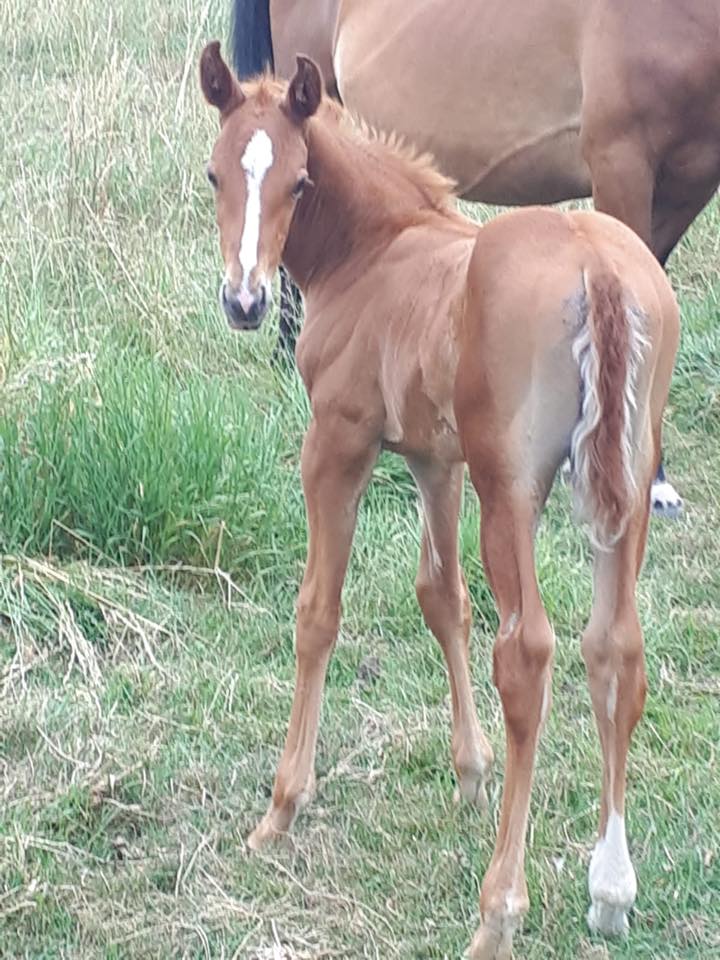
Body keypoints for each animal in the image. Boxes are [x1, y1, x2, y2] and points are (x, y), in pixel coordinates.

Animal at [200, 41, 676, 956]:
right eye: (215, 174)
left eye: (299, 183)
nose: (244, 302)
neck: (377, 252)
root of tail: (595, 263)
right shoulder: (432, 458)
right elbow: (441, 596)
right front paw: (469, 772)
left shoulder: (340, 444)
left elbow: (319, 612)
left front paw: (282, 808)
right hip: (627, 483)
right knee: (616, 648)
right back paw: (611, 889)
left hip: (511, 488)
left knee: (529, 653)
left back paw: (499, 912)